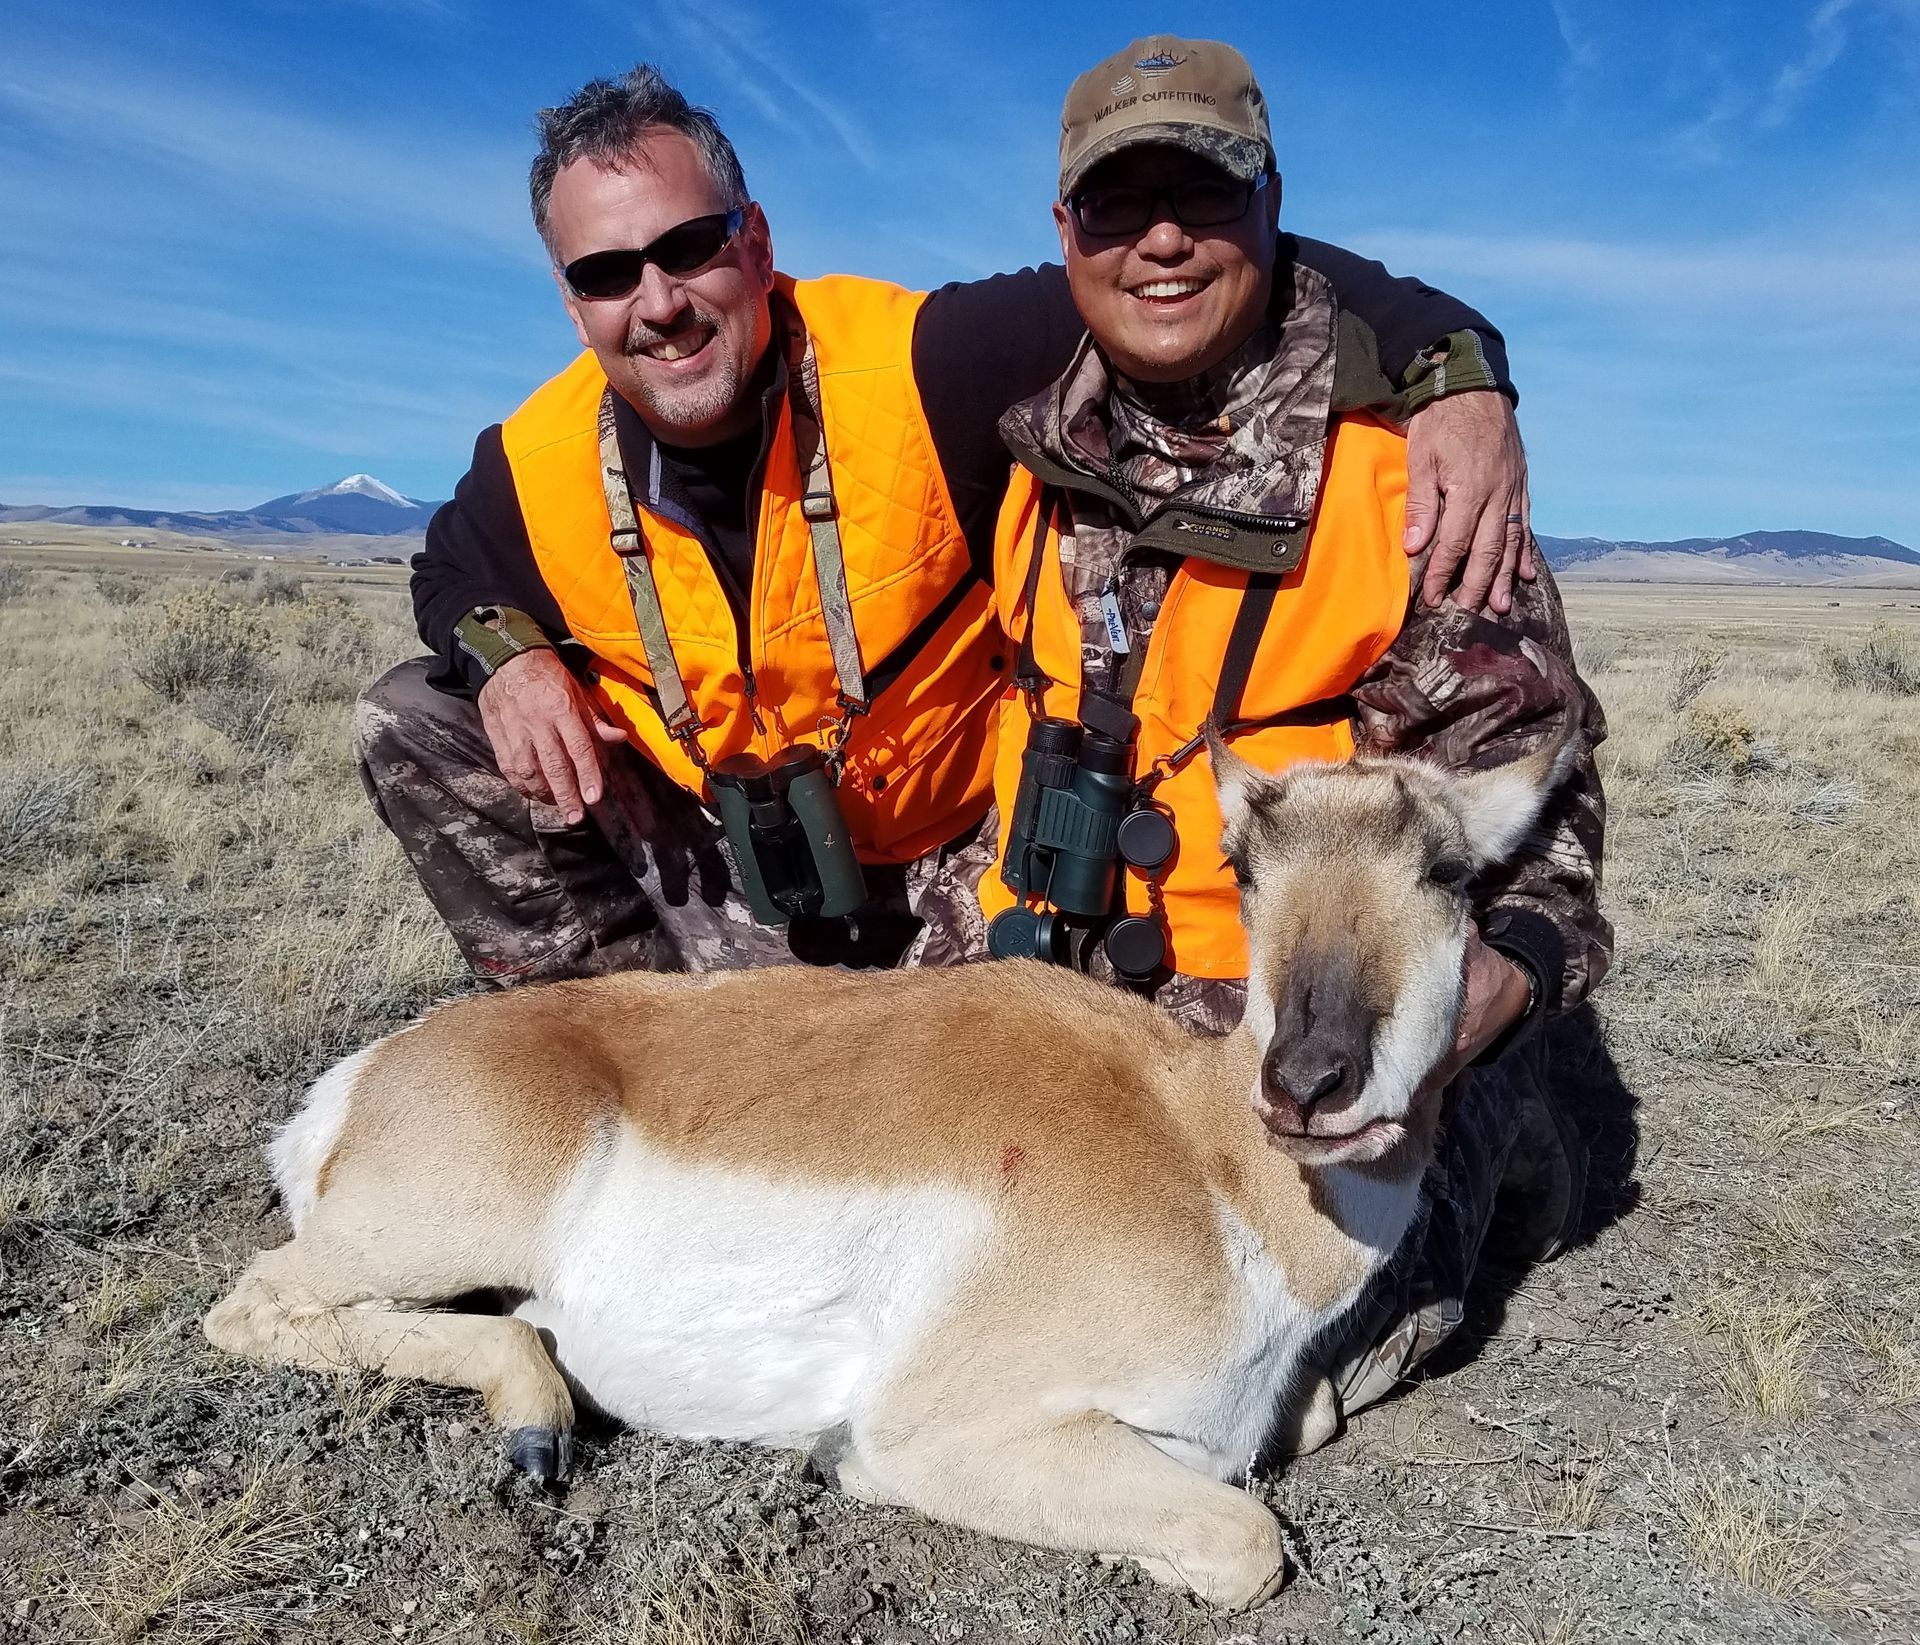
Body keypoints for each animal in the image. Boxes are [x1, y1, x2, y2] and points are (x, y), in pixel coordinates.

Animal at [205, 734, 1571, 1608]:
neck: (1202, 1147)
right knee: (254, 1302)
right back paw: (537, 1423)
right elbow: (1242, 1533)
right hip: (442, 1228)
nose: (1309, 1080)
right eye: (1245, 864)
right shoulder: (939, 1434)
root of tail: (371, 1072)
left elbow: (1315, 1413)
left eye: (1452, 872)